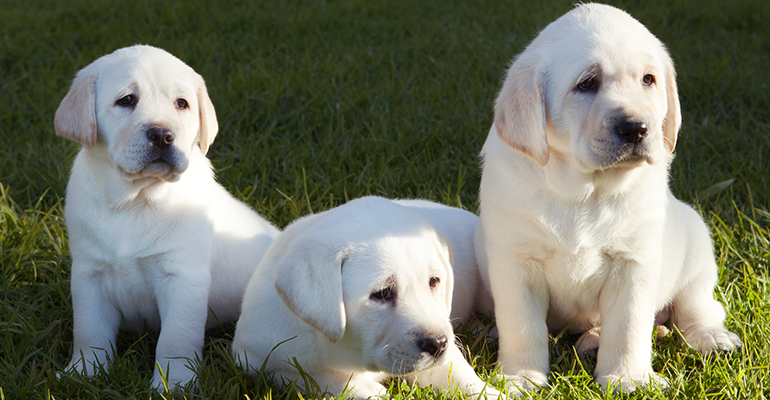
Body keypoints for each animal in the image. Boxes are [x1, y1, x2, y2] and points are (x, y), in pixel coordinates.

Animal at [56, 44, 280, 390]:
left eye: (181, 103)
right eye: (126, 100)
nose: (162, 135)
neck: (136, 200)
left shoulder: (183, 277)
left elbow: (176, 338)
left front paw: (173, 384)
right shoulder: (88, 273)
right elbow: (89, 330)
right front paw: (84, 373)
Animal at [231, 197, 498, 400]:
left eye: (434, 281)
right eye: (382, 294)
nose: (438, 344)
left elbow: (460, 374)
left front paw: (492, 392)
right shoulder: (255, 357)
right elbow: (311, 376)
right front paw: (363, 389)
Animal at [474, 3, 736, 394]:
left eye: (648, 80)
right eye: (587, 83)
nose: (636, 128)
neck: (585, 190)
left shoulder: (633, 263)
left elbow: (628, 328)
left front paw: (629, 378)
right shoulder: (515, 262)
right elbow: (522, 327)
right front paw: (519, 377)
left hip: (697, 248)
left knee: (698, 307)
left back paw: (711, 337)